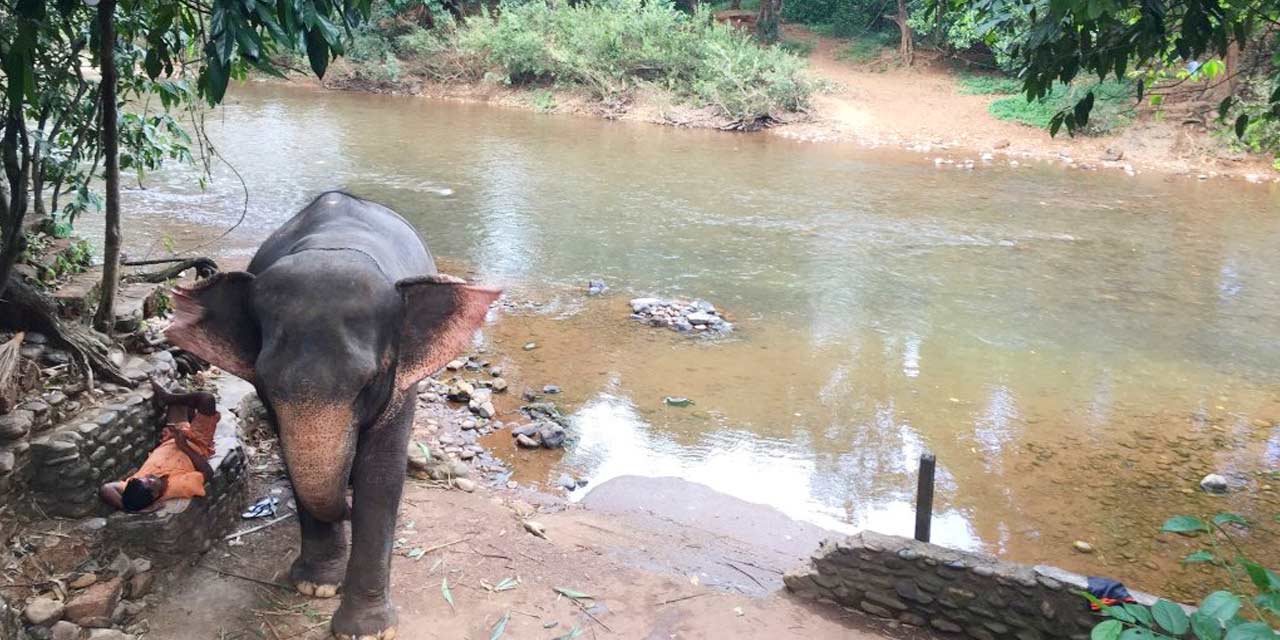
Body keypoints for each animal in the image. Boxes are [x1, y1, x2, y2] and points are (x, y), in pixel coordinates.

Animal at [161, 190, 499, 640]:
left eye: (369, 380)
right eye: (264, 380)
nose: (346, 504)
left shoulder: (401, 382)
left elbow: (380, 474)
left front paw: (367, 630)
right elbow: (293, 460)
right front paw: (316, 585)